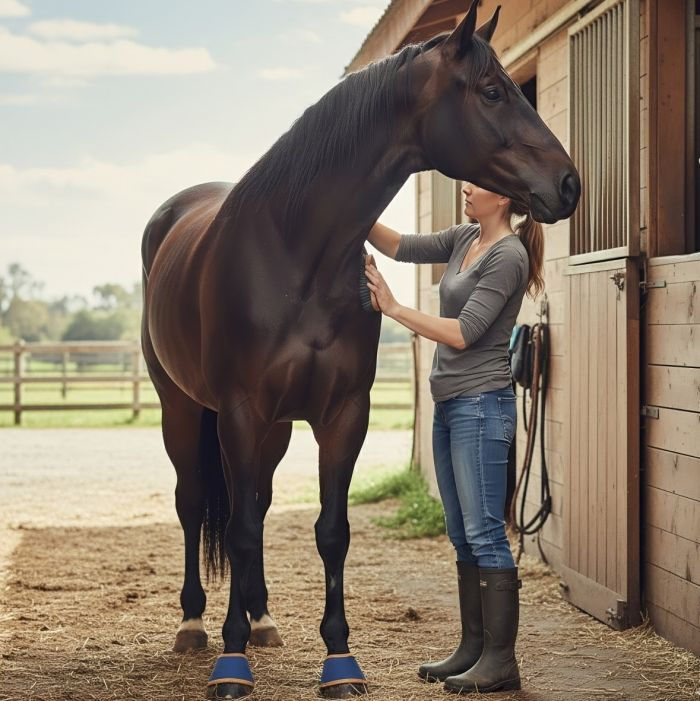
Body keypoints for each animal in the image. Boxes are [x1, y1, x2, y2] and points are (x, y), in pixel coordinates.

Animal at [140, 2, 580, 698]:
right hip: (182, 409)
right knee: (193, 505)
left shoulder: (344, 414)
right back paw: (193, 626)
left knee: (257, 503)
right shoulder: (239, 413)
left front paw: (339, 660)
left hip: (275, 430)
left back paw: (262, 619)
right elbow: (236, 531)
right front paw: (231, 664)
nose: (568, 184)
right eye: (492, 91)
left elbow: (329, 530)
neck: (296, 253)